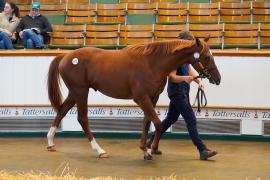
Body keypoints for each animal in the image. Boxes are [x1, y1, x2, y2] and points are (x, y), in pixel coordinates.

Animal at [46, 37, 220, 160]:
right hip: (81, 92)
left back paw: (50, 143)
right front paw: (150, 149)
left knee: (61, 111)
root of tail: (66, 56)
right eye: (206, 57)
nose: (217, 78)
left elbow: (147, 122)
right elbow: (157, 123)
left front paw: (145, 150)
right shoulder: (141, 98)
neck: (152, 63)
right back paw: (100, 150)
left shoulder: (152, 98)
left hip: (74, 93)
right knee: (82, 118)